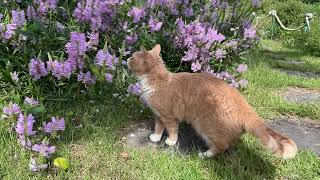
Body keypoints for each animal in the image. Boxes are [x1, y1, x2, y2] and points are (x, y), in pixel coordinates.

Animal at [127, 44, 298, 159]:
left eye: (133, 58)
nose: (126, 57)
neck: (157, 81)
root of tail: (244, 104)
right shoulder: (158, 114)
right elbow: (158, 127)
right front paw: (156, 137)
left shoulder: (169, 116)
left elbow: (172, 130)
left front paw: (170, 141)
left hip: (204, 125)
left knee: (221, 145)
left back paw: (205, 154)